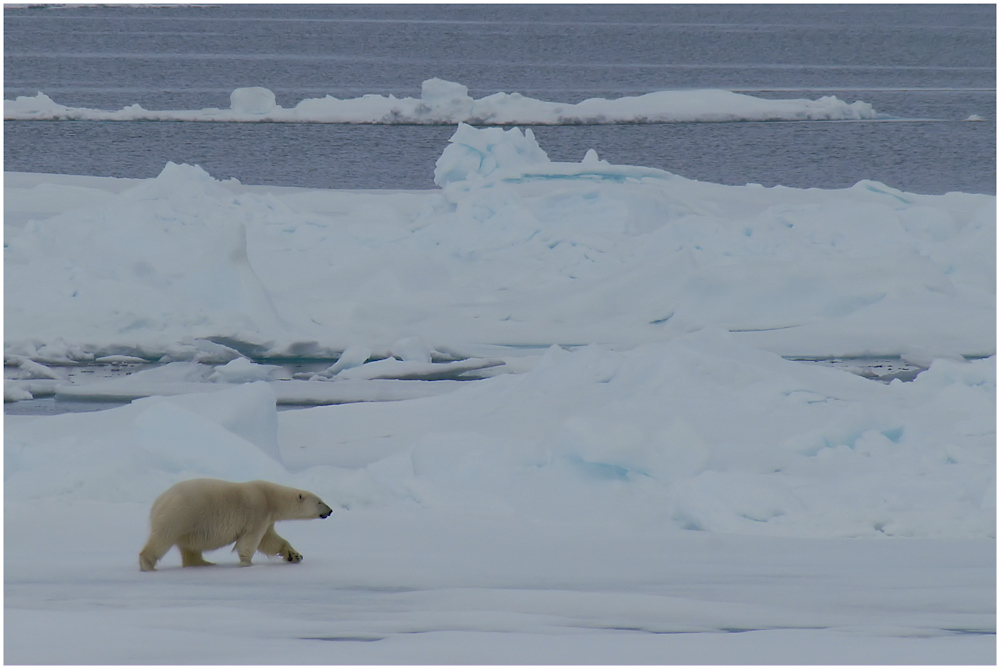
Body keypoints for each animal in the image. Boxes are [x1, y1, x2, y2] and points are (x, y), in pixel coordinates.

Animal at [138, 478, 332, 572]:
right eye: (319, 502)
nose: (330, 510)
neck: (271, 497)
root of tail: (157, 503)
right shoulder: (258, 511)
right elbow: (251, 539)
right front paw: (246, 562)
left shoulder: (268, 519)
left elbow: (270, 541)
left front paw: (295, 555)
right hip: (178, 516)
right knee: (161, 539)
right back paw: (147, 564)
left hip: (187, 524)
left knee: (190, 548)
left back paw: (204, 562)